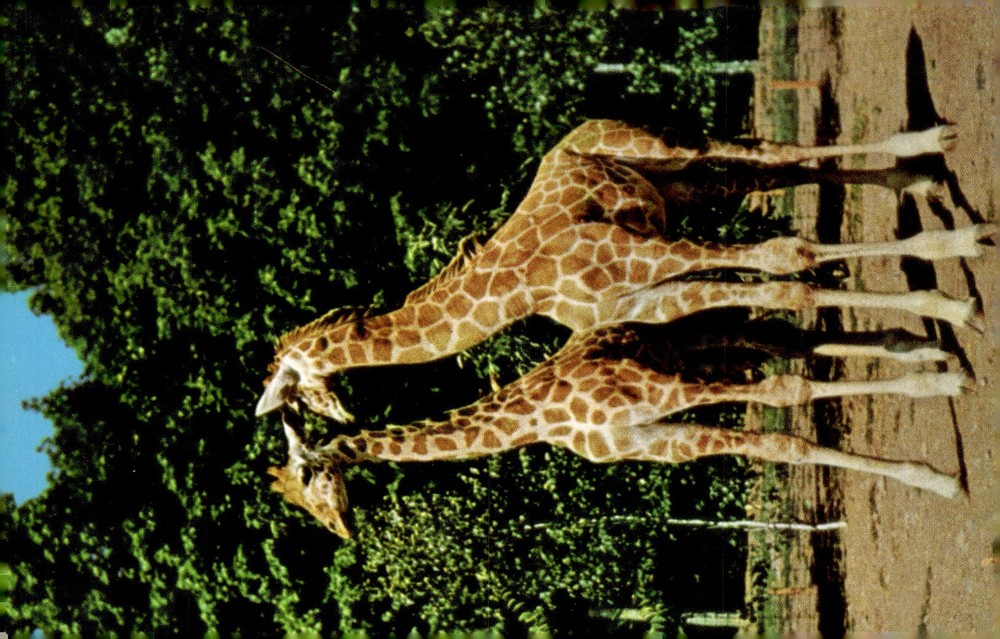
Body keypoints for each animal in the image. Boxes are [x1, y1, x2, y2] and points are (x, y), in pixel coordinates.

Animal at [256, 119, 993, 421]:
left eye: (295, 392)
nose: (339, 415)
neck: (516, 293)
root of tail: (586, 127)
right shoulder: (650, 297)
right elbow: (776, 303)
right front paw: (930, 350)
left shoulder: (650, 257)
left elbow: (789, 260)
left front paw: (954, 312)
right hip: (679, 189)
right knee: (769, 166)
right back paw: (921, 178)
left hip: (665, 152)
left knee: (767, 155)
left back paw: (942, 172)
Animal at [268, 320, 966, 537]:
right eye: (303, 504)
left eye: (309, 479)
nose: (343, 530)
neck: (536, 421)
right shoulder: (658, 443)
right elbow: (776, 428)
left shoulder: (667, 395)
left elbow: (783, 416)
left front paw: (938, 482)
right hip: (701, 345)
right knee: (787, 339)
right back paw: (937, 357)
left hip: (686, 366)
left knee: (787, 361)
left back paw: (944, 375)